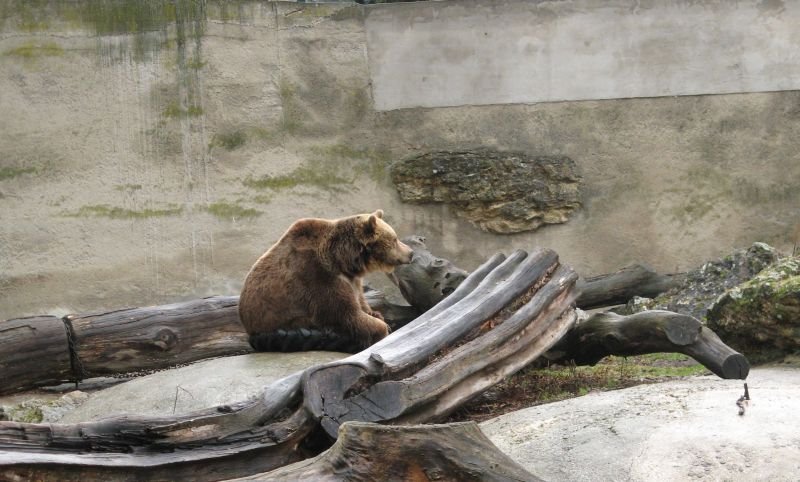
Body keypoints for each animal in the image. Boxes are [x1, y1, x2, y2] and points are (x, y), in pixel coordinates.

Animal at [238, 210, 412, 350]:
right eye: (395, 239)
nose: (410, 253)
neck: (342, 260)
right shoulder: (317, 276)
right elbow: (347, 314)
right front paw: (383, 328)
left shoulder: (351, 279)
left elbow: (360, 301)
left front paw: (376, 314)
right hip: (283, 319)